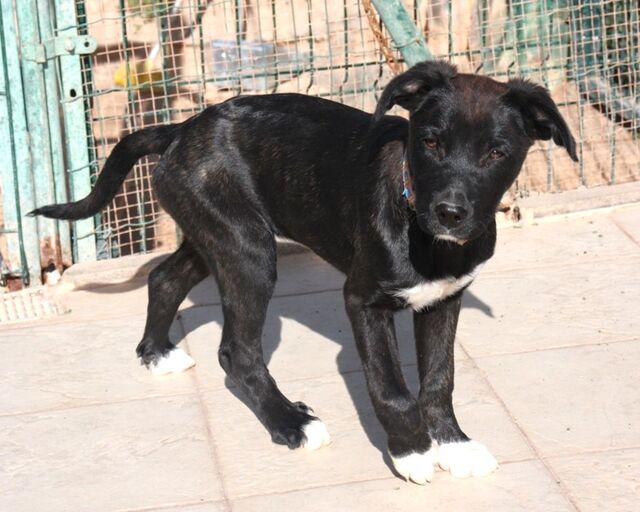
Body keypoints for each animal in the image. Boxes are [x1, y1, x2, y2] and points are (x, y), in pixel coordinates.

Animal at [32, 61, 577, 484]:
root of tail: (181, 129)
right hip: (249, 252)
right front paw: (413, 452)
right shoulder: (362, 301)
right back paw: (290, 422)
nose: (449, 212)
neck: (425, 232)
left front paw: (453, 444)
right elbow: (392, 390)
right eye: (430, 142)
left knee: (164, 278)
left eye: (497, 153)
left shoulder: (445, 298)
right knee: (236, 352)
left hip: (219, 236)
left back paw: (156, 353)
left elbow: (440, 378)